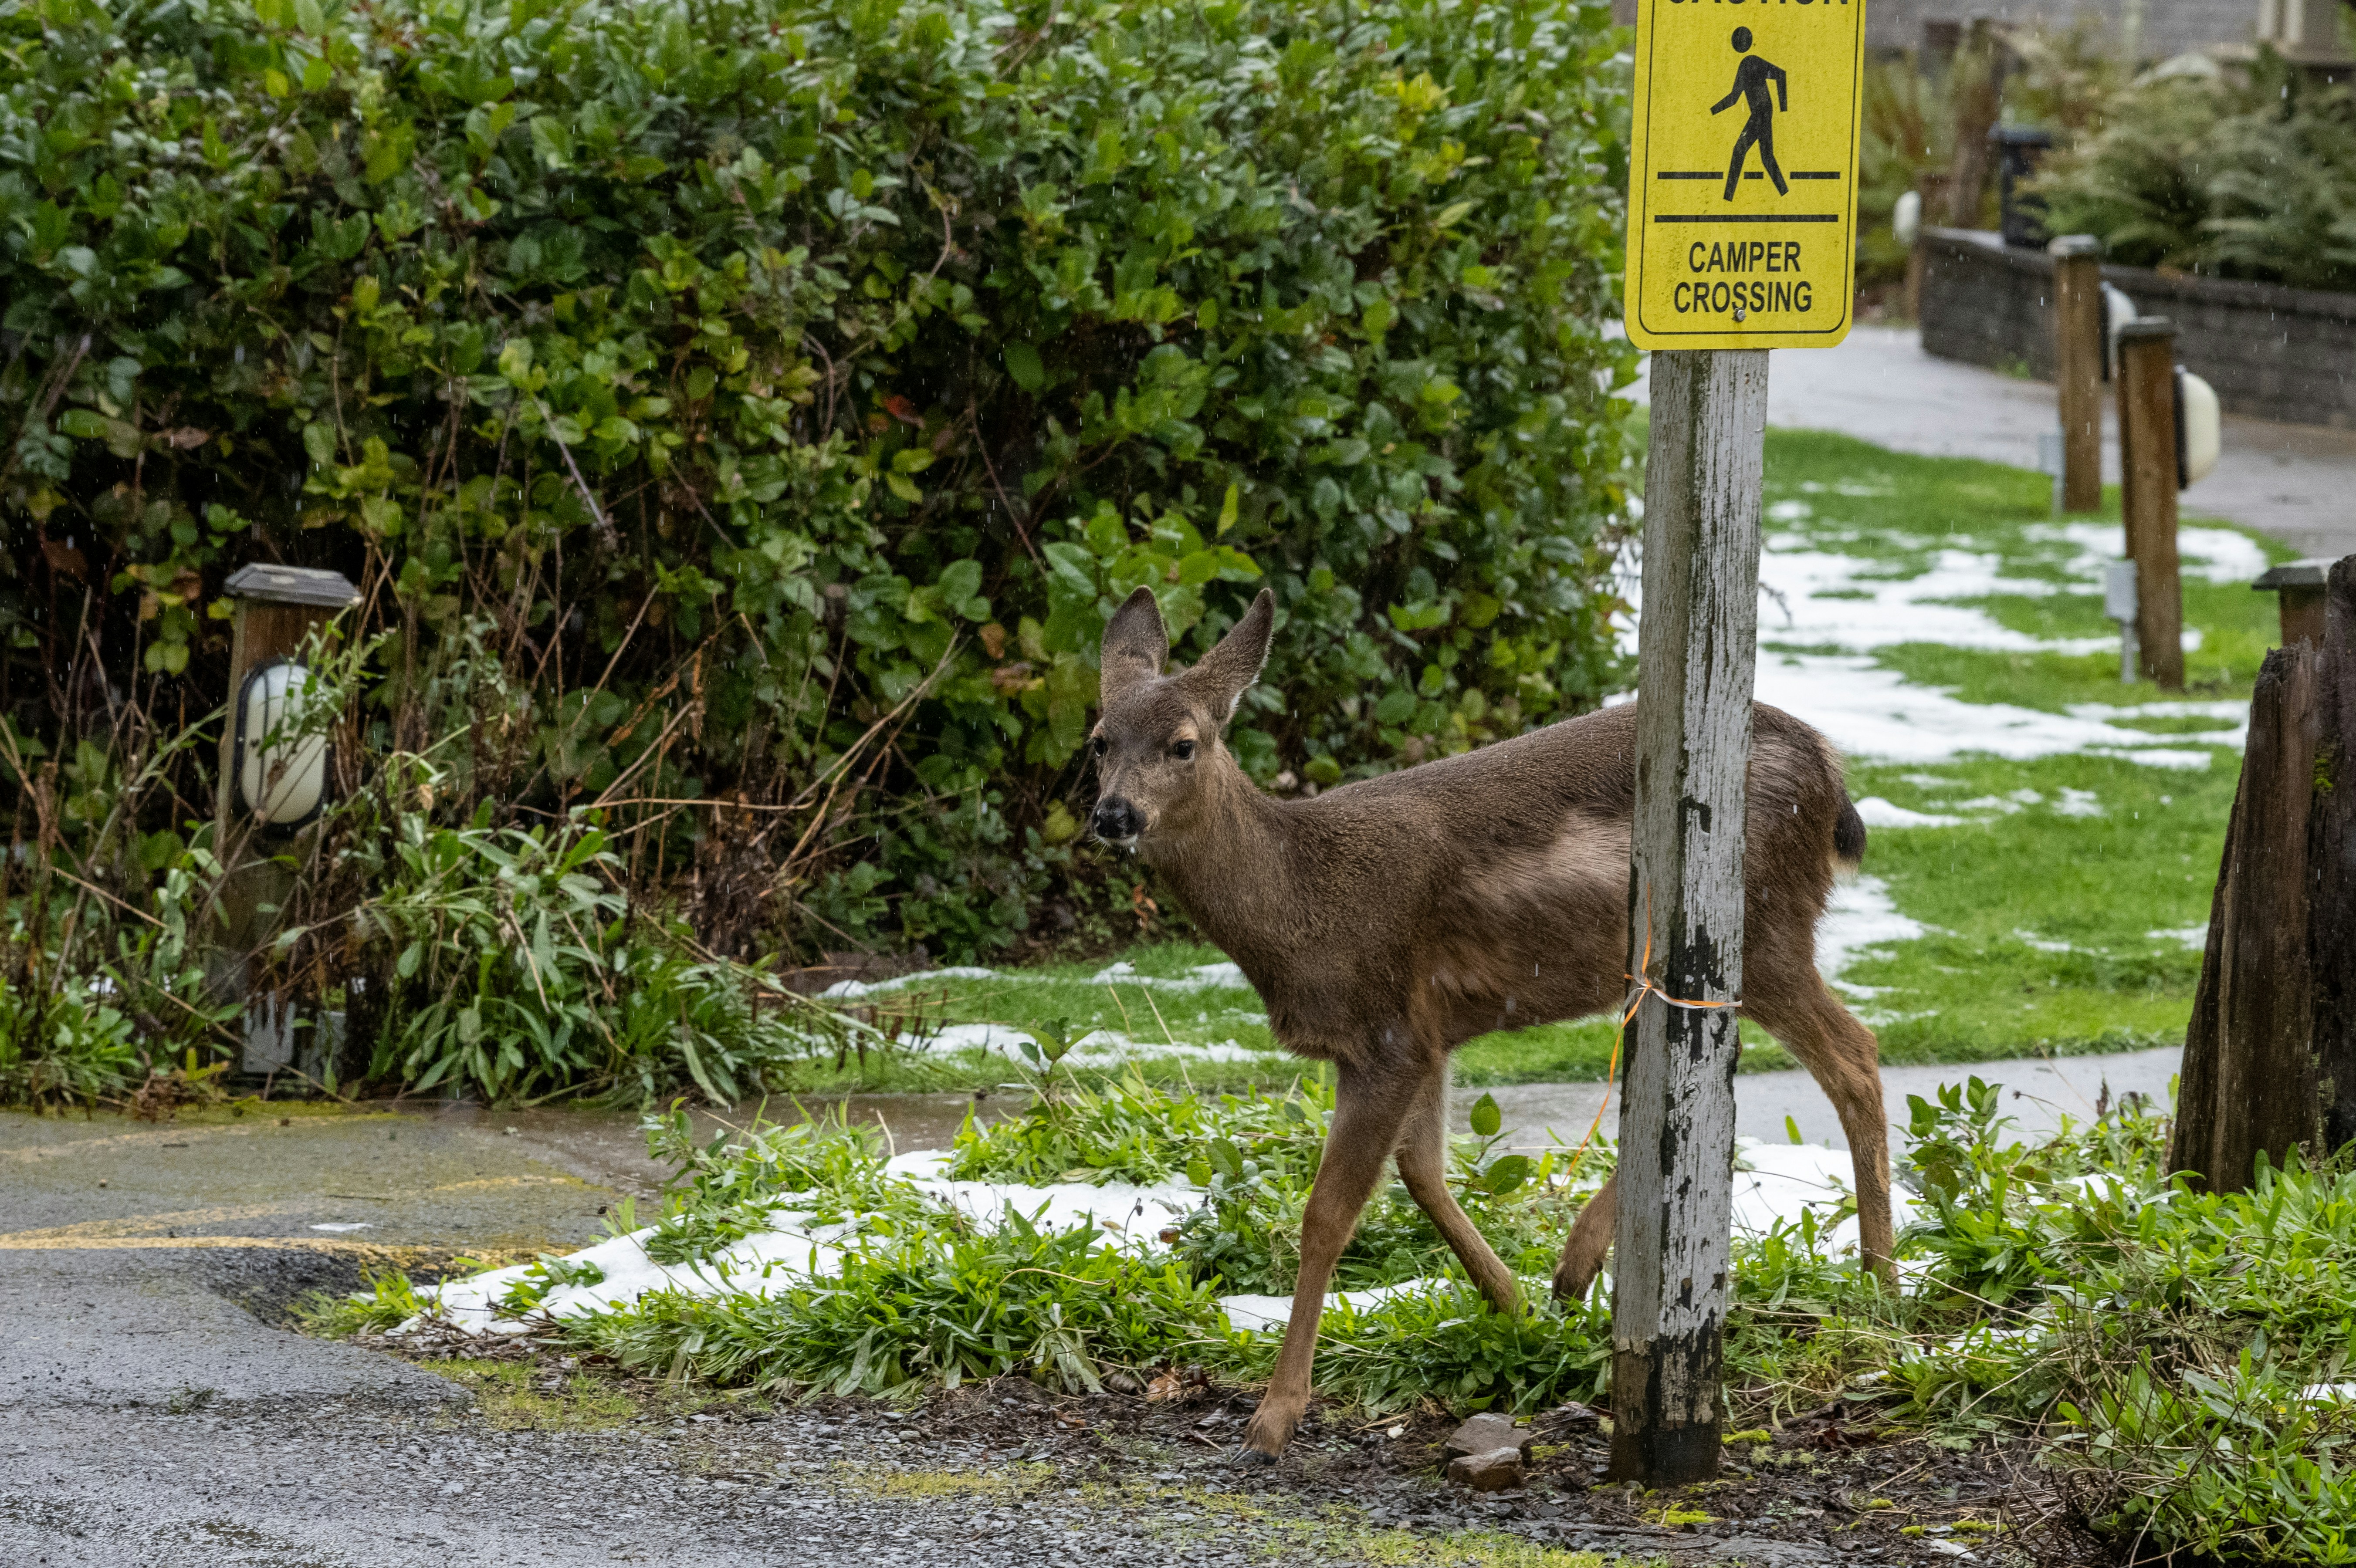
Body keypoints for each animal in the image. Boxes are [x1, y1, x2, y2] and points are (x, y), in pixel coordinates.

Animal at [1085, 585, 1894, 1464]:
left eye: (1184, 744)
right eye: (1098, 741)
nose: (1113, 815)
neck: (1303, 903)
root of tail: (1829, 769)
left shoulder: (1384, 1035)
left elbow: (1328, 1216)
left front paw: (1275, 1415)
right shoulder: (1424, 1034)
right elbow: (1422, 1171)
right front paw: (1512, 1304)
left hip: (1761, 924)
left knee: (1852, 1055)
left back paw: (1875, 1282)